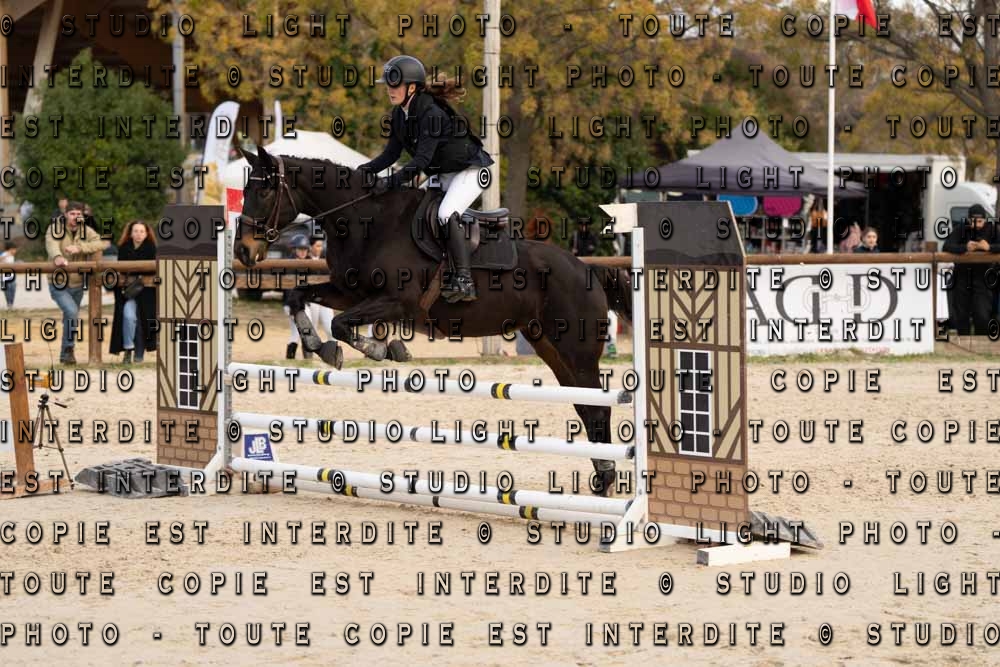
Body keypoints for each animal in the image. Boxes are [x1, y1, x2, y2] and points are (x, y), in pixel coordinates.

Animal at [234, 146, 633, 495]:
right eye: (246, 189)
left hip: (577, 351)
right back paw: (601, 477)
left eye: (265, 190)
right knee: (585, 406)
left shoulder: (397, 302)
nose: (243, 250)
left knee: (598, 407)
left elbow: (341, 325)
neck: (365, 222)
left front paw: (380, 350)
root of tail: (588, 269)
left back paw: (606, 480)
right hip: (549, 346)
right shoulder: (348, 292)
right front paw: (318, 344)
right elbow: (298, 298)